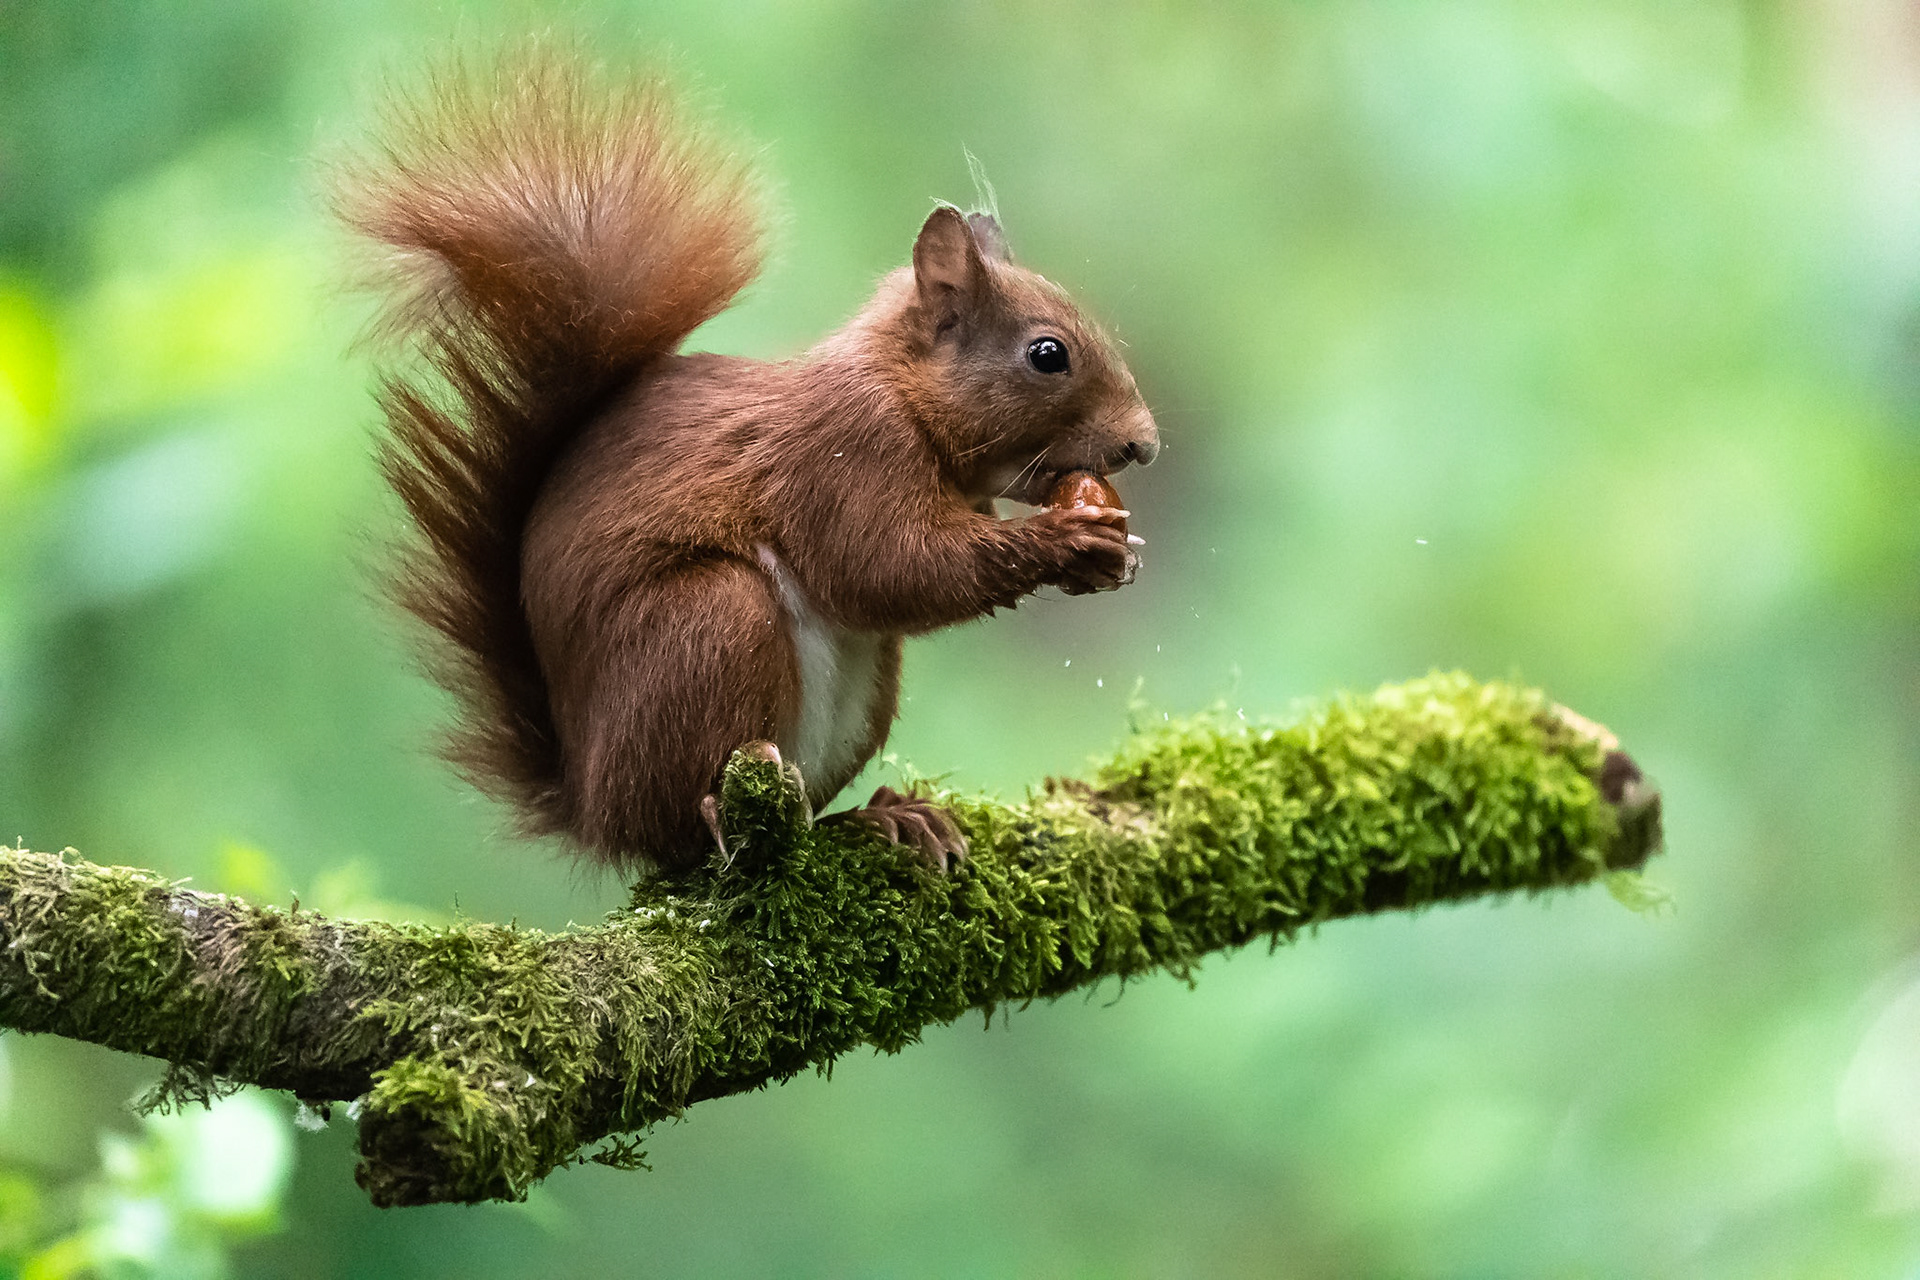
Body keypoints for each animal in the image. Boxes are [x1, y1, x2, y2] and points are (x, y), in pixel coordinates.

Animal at [334, 47, 1152, 871]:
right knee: (680, 832)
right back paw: (721, 819)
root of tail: (591, 808)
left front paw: (1108, 560)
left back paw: (884, 818)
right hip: (710, 625)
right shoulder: (843, 453)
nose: (1144, 444)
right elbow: (891, 567)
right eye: (1047, 354)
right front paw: (1064, 539)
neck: (901, 389)